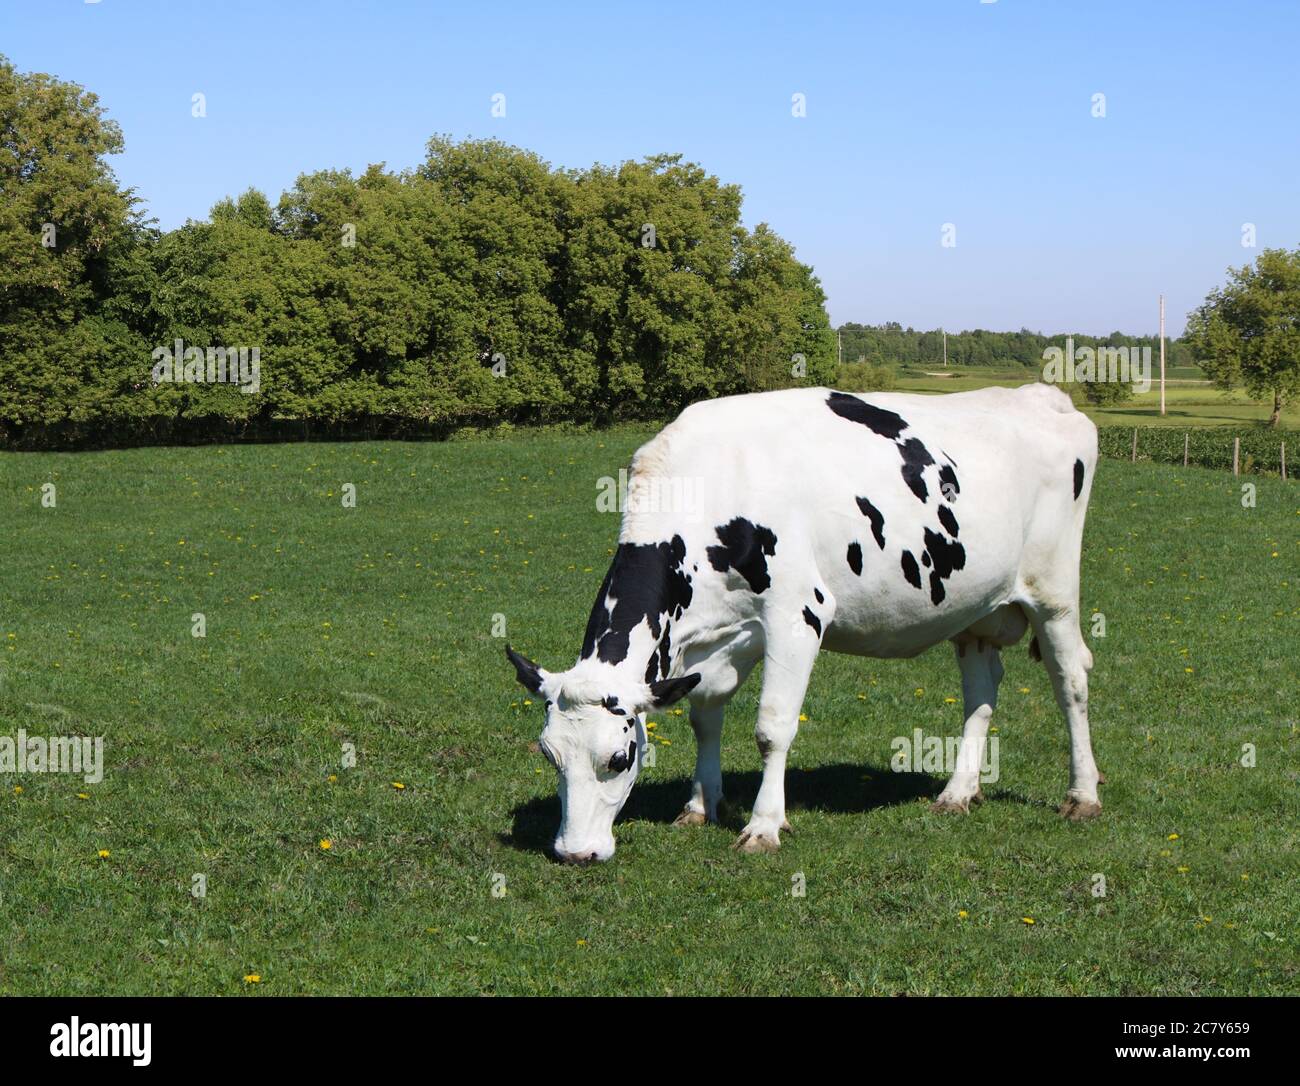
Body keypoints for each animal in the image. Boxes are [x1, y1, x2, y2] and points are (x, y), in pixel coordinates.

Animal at [507, 383, 1102, 863]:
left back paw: (1083, 795)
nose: (575, 853)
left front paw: (764, 826)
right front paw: (700, 805)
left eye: (618, 758)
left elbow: (772, 727)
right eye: (549, 755)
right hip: (976, 609)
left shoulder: (799, 613)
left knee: (1071, 681)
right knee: (981, 691)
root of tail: (1043, 395)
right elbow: (705, 719)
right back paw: (959, 793)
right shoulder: (719, 640)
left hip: (1054, 592)